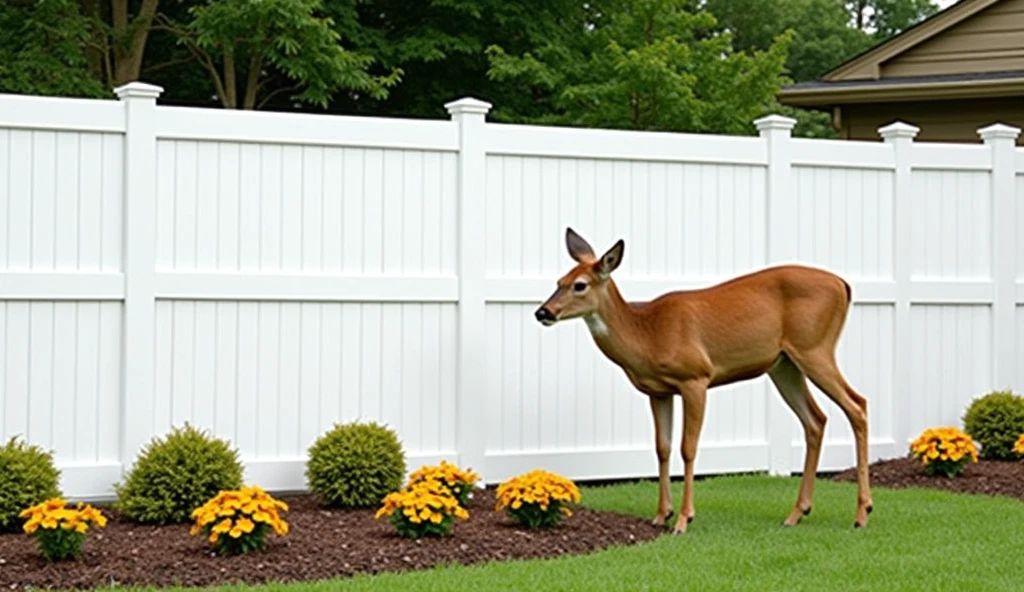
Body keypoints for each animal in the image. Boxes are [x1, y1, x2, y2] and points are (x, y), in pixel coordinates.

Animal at [536, 225, 872, 528]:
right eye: (559, 281)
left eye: (580, 285)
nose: (543, 312)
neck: (647, 334)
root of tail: (844, 285)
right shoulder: (658, 391)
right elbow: (662, 448)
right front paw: (662, 515)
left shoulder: (696, 378)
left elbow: (688, 447)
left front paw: (684, 519)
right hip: (784, 365)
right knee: (816, 420)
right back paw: (796, 514)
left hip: (815, 348)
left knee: (857, 405)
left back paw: (862, 513)